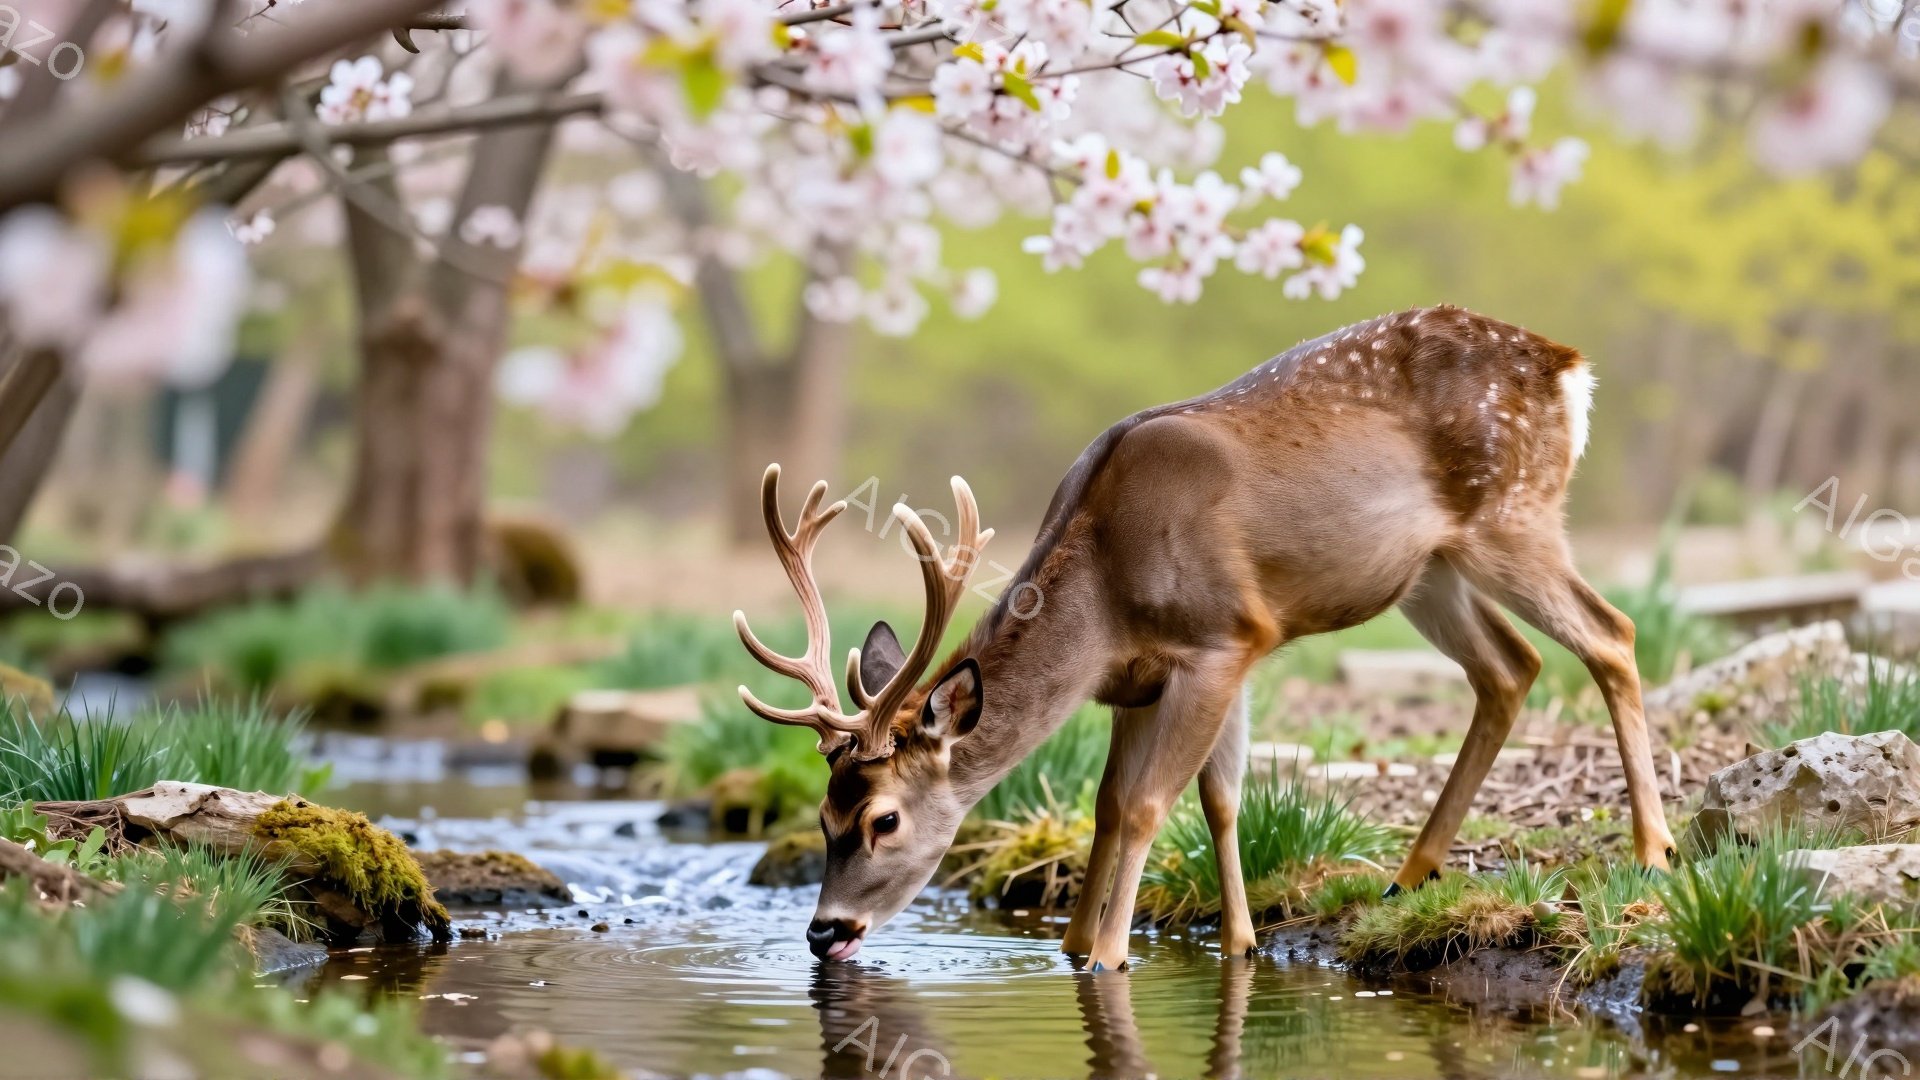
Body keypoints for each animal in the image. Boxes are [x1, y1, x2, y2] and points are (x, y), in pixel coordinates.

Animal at [734, 305, 1678, 972]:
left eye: (884, 819)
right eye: (821, 814)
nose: (824, 933)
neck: (1107, 593)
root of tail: (1568, 367)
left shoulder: (1227, 638)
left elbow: (1154, 801)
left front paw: (1111, 957)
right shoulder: (1139, 680)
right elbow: (1139, 801)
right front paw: (1146, 944)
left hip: (1513, 517)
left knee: (1612, 633)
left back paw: (1655, 852)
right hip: (1429, 571)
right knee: (1511, 666)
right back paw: (1410, 872)